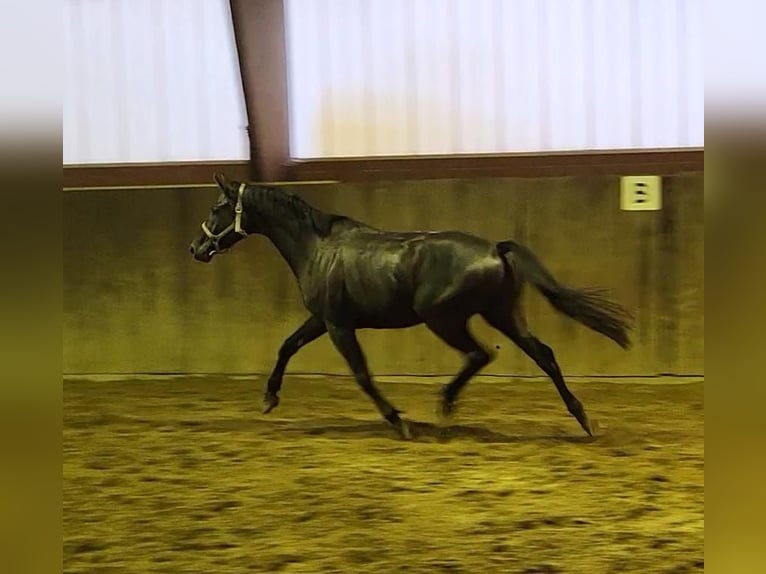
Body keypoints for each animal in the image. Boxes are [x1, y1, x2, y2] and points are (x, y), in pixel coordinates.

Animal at [189, 173, 633, 440]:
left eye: (215, 207)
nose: (196, 248)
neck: (316, 246)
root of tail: (495, 248)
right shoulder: (322, 319)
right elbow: (287, 346)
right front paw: (269, 399)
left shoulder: (338, 325)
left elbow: (362, 375)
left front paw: (399, 422)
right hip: (502, 315)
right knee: (544, 355)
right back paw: (584, 419)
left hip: (443, 319)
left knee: (480, 354)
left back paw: (445, 405)